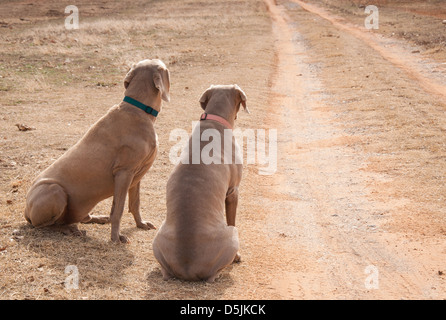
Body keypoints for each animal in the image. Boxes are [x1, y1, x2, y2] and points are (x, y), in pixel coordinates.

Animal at [24, 58, 171, 242]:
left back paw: (98, 218)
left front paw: (141, 224)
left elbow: (135, 203)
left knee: (79, 218)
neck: (138, 109)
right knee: (46, 225)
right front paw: (116, 238)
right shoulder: (124, 172)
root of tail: (26, 210)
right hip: (54, 191)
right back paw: (69, 230)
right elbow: (118, 210)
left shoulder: (137, 174)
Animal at [151, 84, 247, 282]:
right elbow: (232, 216)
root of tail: (188, 267)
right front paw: (238, 257)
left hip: (157, 239)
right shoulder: (233, 191)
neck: (214, 119)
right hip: (232, 235)